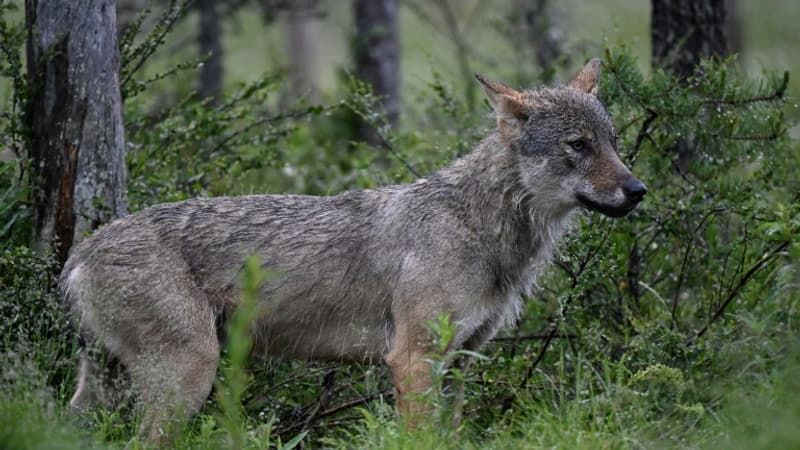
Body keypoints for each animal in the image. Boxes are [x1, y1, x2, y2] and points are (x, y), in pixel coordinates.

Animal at [60, 58, 646, 442]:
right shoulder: (413, 358)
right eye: (578, 146)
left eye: (614, 143)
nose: (638, 190)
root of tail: (81, 251)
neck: (484, 231)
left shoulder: (462, 362)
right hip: (189, 375)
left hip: (110, 389)